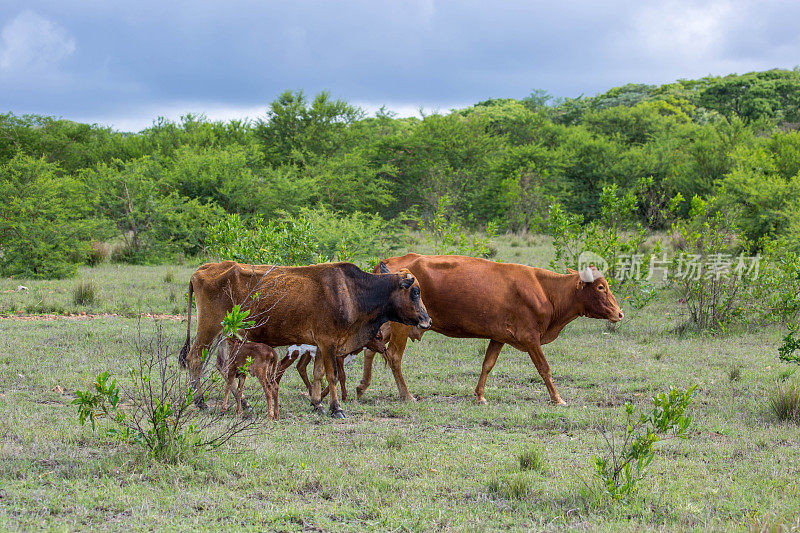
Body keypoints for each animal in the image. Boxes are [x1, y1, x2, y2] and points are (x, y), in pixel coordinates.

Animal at [180, 260, 432, 418]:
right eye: (415, 292)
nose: (427, 321)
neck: (353, 292)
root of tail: (204, 269)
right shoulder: (329, 342)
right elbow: (332, 375)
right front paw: (336, 408)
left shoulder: (321, 345)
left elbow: (318, 374)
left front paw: (317, 403)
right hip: (209, 328)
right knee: (195, 359)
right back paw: (200, 401)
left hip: (227, 335)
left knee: (223, 366)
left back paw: (243, 402)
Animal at [358, 254, 624, 404]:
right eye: (601, 287)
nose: (619, 313)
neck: (546, 291)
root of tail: (389, 263)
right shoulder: (530, 338)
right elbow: (544, 369)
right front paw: (557, 398)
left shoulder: (498, 336)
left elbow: (487, 364)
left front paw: (480, 395)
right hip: (401, 325)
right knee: (393, 356)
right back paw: (406, 395)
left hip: (386, 324)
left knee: (371, 348)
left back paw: (362, 387)